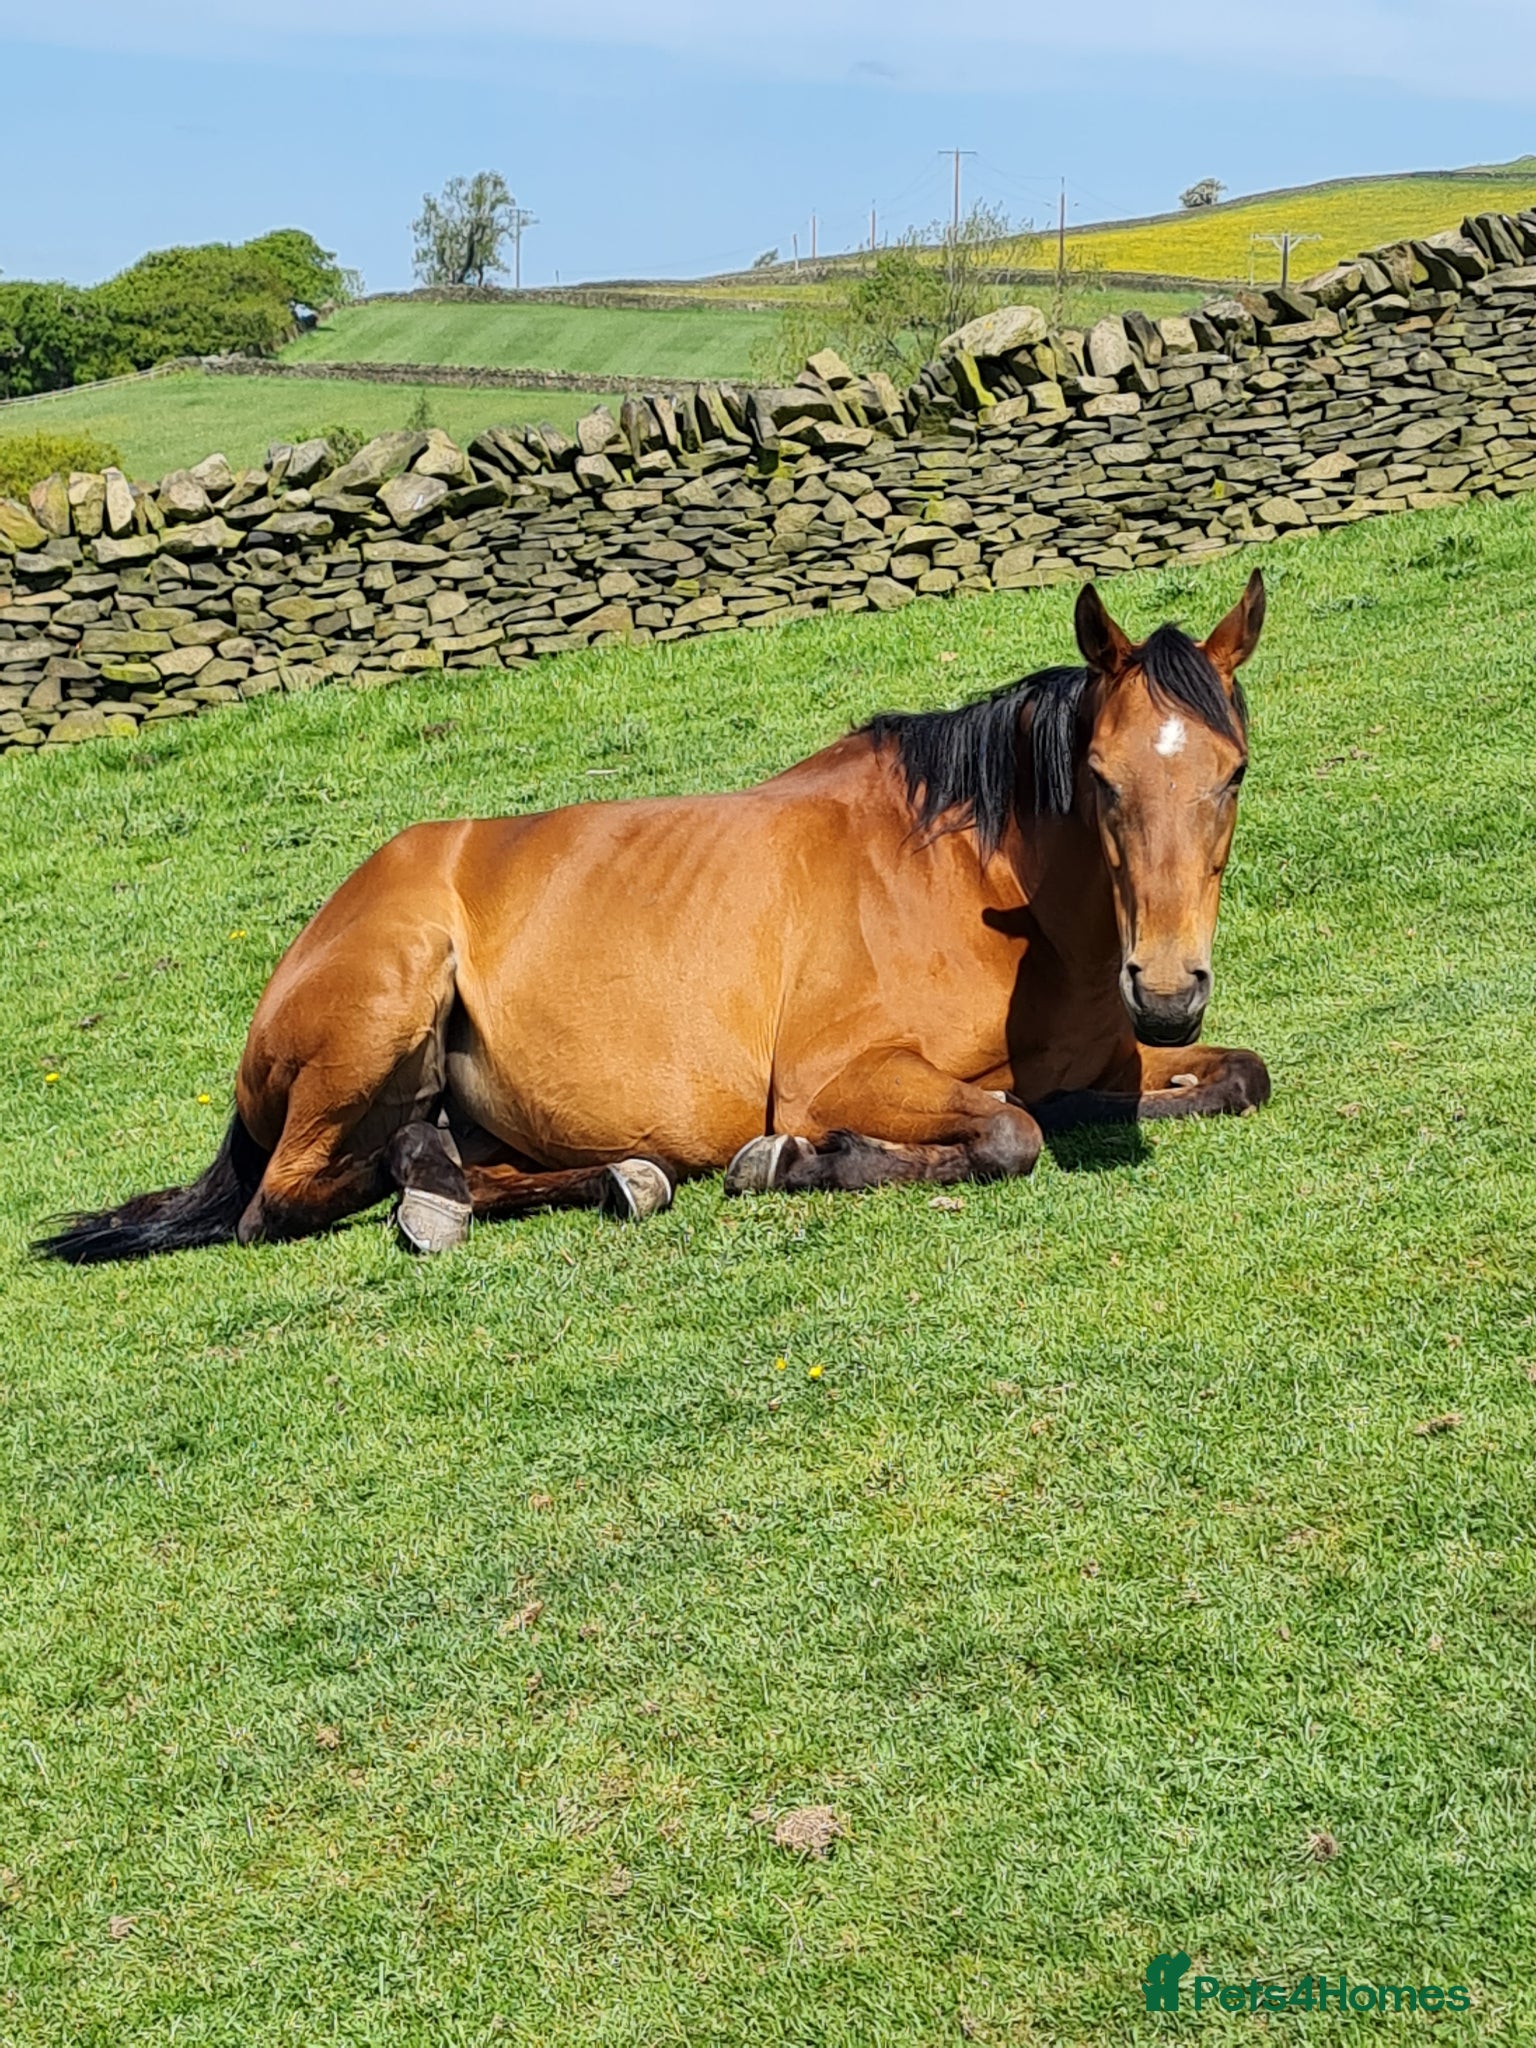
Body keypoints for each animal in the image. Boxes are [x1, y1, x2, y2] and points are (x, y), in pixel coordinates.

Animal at [36, 573, 1271, 1263]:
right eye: (1101, 780)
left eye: (1234, 772)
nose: (1167, 990)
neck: (984, 895)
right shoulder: (839, 1075)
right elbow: (1007, 1133)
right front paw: (793, 1162)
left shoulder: (1112, 1061)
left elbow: (1232, 1078)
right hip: (384, 1004)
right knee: (289, 1200)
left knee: (447, 1161)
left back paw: (551, 1182)